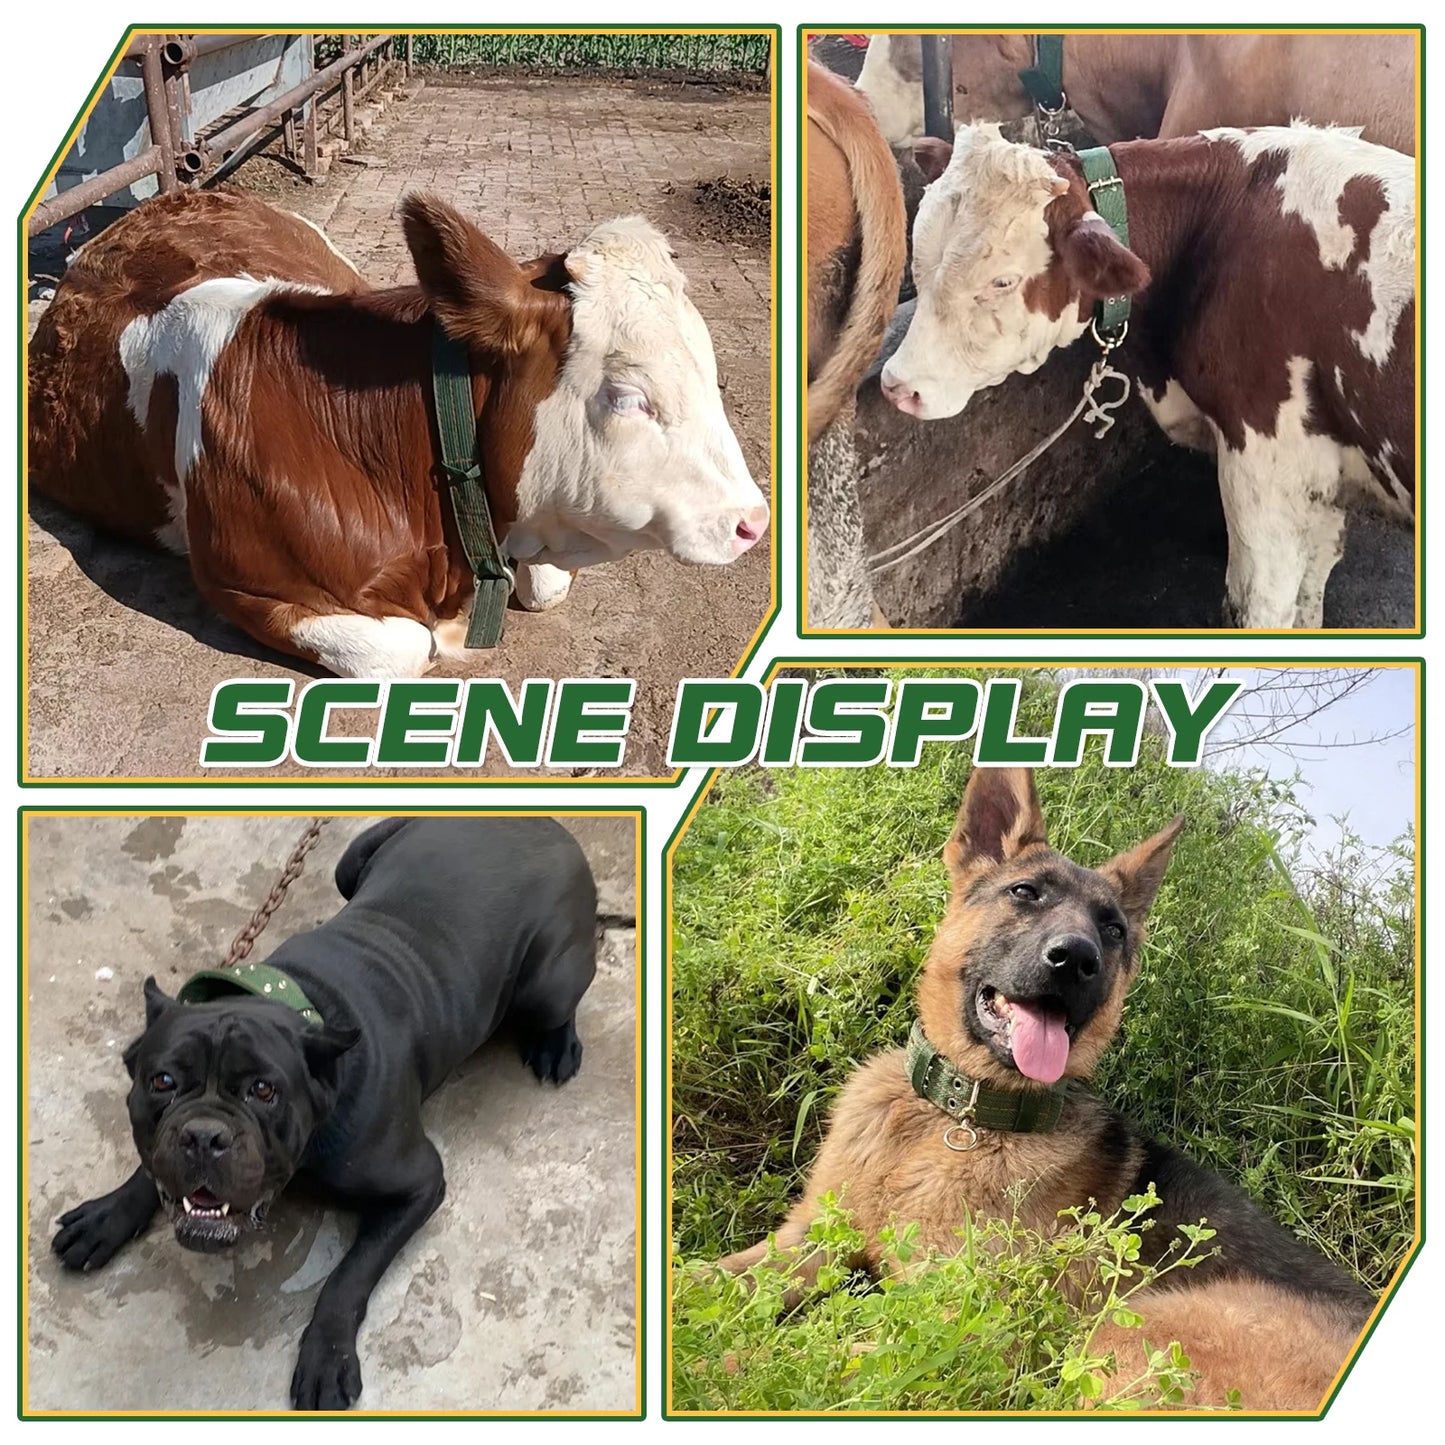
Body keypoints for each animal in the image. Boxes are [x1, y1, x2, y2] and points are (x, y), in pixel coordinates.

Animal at [880, 123, 1415, 630]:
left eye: (1002, 281)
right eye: (917, 258)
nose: (897, 386)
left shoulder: (1266, 460)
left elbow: (1258, 606)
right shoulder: (1325, 473)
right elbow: (1311, 590)